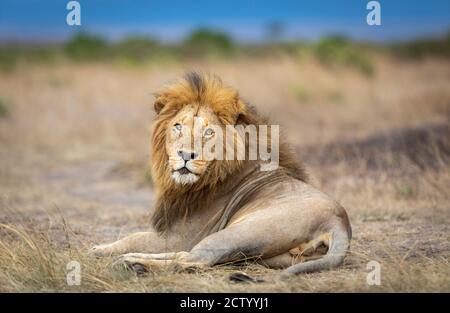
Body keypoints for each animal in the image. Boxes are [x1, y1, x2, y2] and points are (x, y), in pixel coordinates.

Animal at [90, 72, 352, 276]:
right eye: (177, 126)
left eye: (208, 132)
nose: (186, 154)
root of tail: (339, 221)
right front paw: (100, 249)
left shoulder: (183, 235)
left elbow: (134, 236)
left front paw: (99, 249)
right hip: (269, 256)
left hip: (239, 232)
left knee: (193, 259)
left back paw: (131, 264)